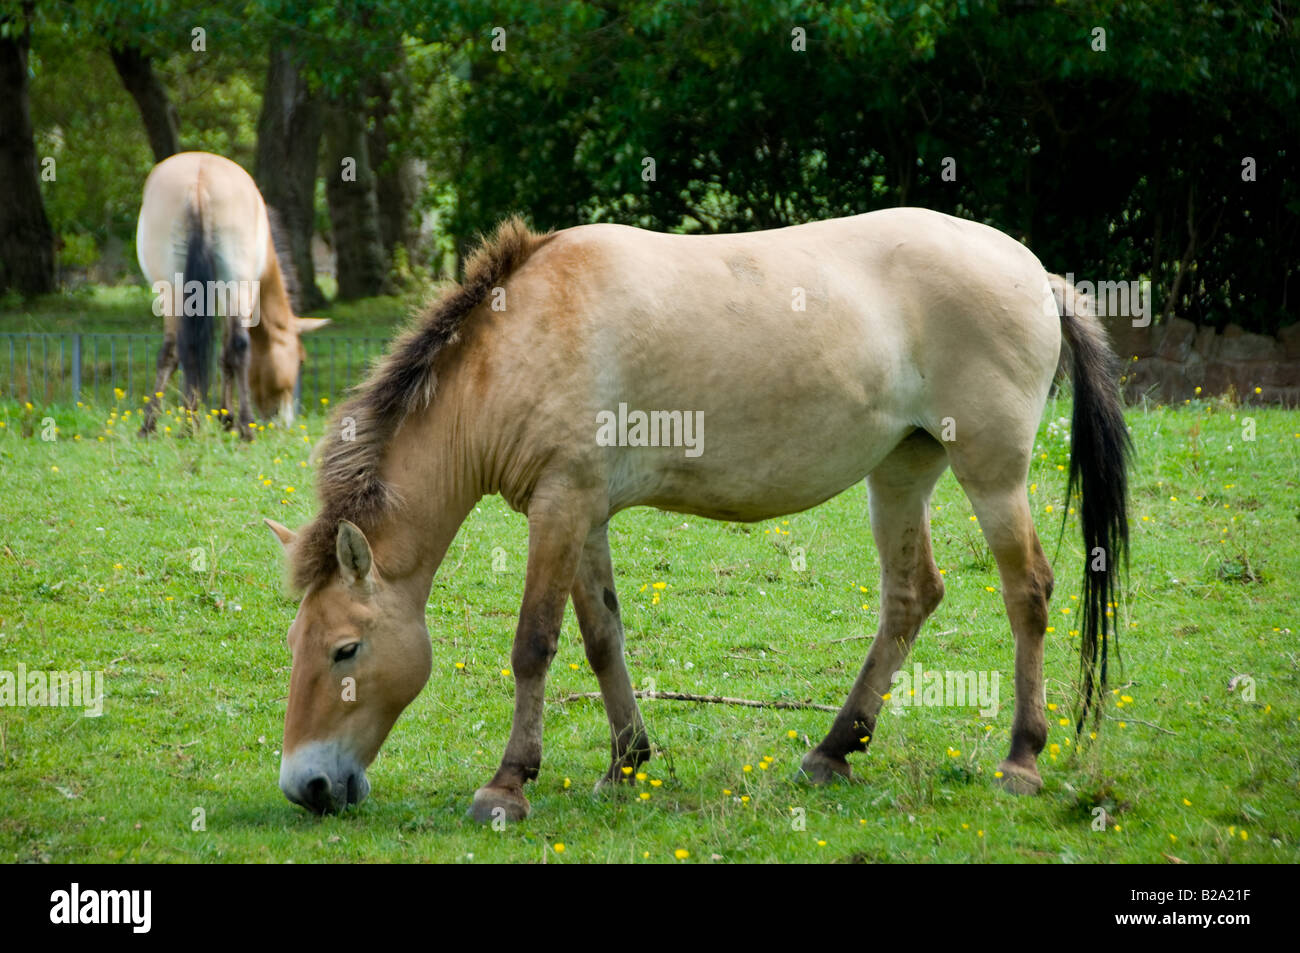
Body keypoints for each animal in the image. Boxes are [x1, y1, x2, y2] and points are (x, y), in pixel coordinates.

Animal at [135, 151, 329, 438]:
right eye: (301, 360)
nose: (285, 421)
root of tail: (199, 181)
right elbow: (227, 354)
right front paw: (227, 419)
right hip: (237, 287)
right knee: (238, 347)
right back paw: (245, 428)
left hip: (171, 289)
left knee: (174, 350)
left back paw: (164, 426)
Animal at [264, 207, 1131, 819]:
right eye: (295, 644)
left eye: (345, 649)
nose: (306, 785)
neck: (521, 338)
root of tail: (1036, 272)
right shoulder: (584, 514)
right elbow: (602, 638)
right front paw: (625, 761)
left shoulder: (560, 506)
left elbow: (534, 644)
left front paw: (508, 784)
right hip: (901, 471)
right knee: (912, 597)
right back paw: (834, 749)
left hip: (992, 474)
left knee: (1028, 592)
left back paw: (1021, 759)